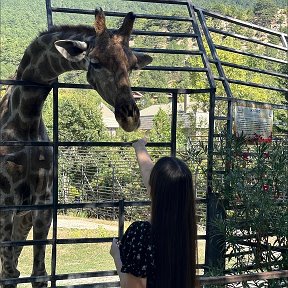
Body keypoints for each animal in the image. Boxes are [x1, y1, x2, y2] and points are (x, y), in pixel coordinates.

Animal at [0, 7, 153, 286]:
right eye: (95, 62)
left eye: (132, 65)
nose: (130, 117)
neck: (25, 118)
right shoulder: (5, 203)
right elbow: (8, 276)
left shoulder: (42, 204)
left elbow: (36, 274)